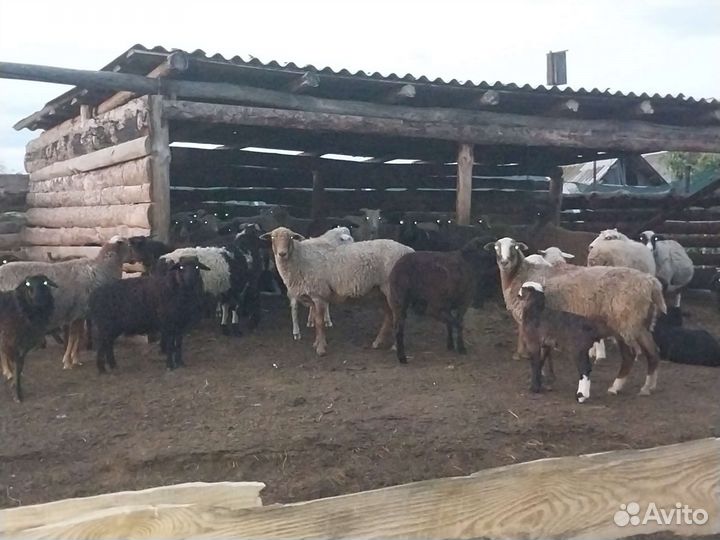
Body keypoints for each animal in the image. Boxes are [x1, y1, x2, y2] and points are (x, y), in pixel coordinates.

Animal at [0, 238, 128, 369]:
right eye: (129, 243)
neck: (101, 270)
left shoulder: (80, 313)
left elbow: (77, 336)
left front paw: (74, 358)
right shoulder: (78, 311)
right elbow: (74, 336)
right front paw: (68, 361)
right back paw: (8, 368)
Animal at [262, 227, 413, 355]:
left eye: (291, 237)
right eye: (273, 237)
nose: (282, 254)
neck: (299, 258)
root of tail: (409, 250)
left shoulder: (319, 294)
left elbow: (319, 322)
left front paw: (321, 348)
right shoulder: (313, 295)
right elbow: (316, 321)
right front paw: (317, 343)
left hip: (390, 288)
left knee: (397, 315)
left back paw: (394, 346)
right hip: (380, 290)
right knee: (389, 315)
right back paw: (377, 342)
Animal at [485, 237, 667, 396]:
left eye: (514, 247)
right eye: (496, 248)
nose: (504, 263)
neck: (520, 275)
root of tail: (651, 283)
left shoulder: (534, 325)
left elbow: (539, 355)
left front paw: (540, 379)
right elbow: (547, 352)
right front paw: (549, 378)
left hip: (625, 322)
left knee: (630, 355)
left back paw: (616, 387)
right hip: (642, 323)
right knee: (653, 353)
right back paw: (647, 387)